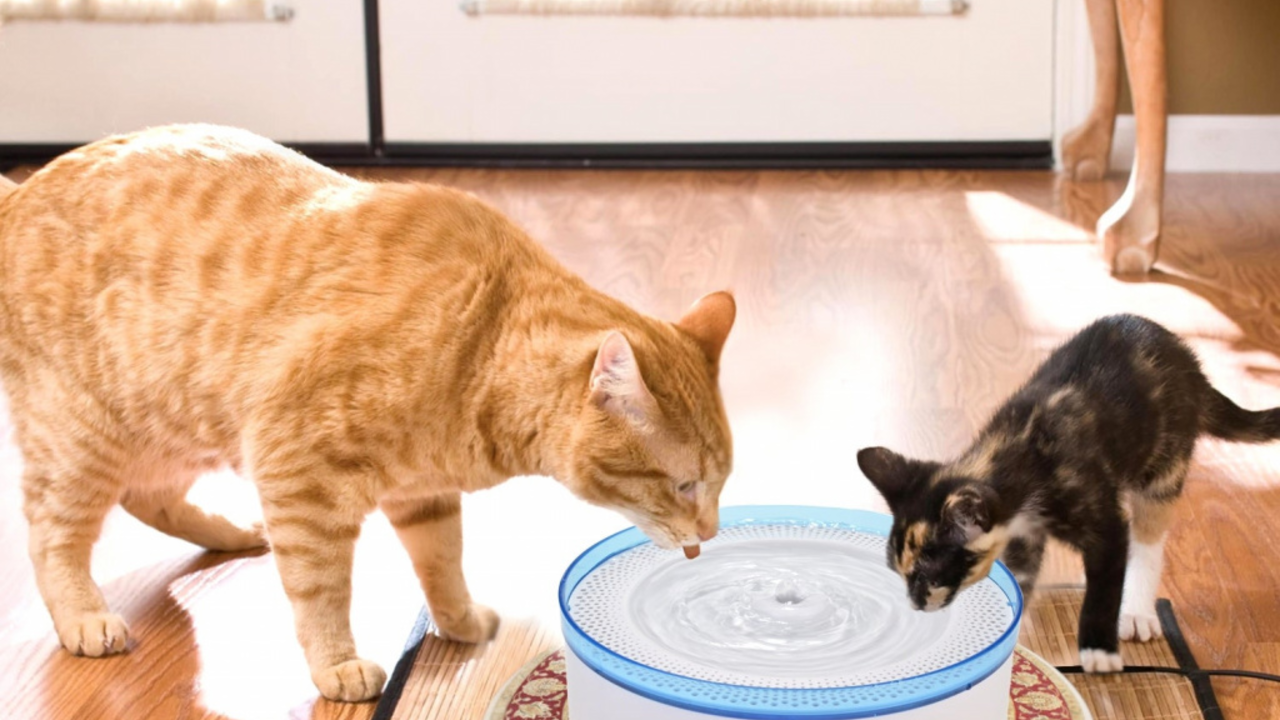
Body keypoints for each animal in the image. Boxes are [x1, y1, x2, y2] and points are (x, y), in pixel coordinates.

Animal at [0, 125, 735, 702]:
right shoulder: (296, 472)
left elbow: (443, 559)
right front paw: (337, 665)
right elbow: (319, 589)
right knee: (53, 534)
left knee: (145, 497)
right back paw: (85, 618)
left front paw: (458, 620)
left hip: (181, 430)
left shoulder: (423, 491)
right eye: (685, 486)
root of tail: (18, 191)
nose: (711, 531)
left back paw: (230, 531)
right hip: (86, 437)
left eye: (719, 485)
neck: (482, 341)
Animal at [857, 314, 1280, 673]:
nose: (913, 603)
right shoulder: (1023, 536)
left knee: (1150, 539)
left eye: (927, 574)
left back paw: (1137, 611)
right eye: (899, 571)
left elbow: (1105, 586)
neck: (1016, 453)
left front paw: (1099, 650)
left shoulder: (1106, 526)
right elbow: (1022, 580)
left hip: (1166, 462)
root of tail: (1191, 363)